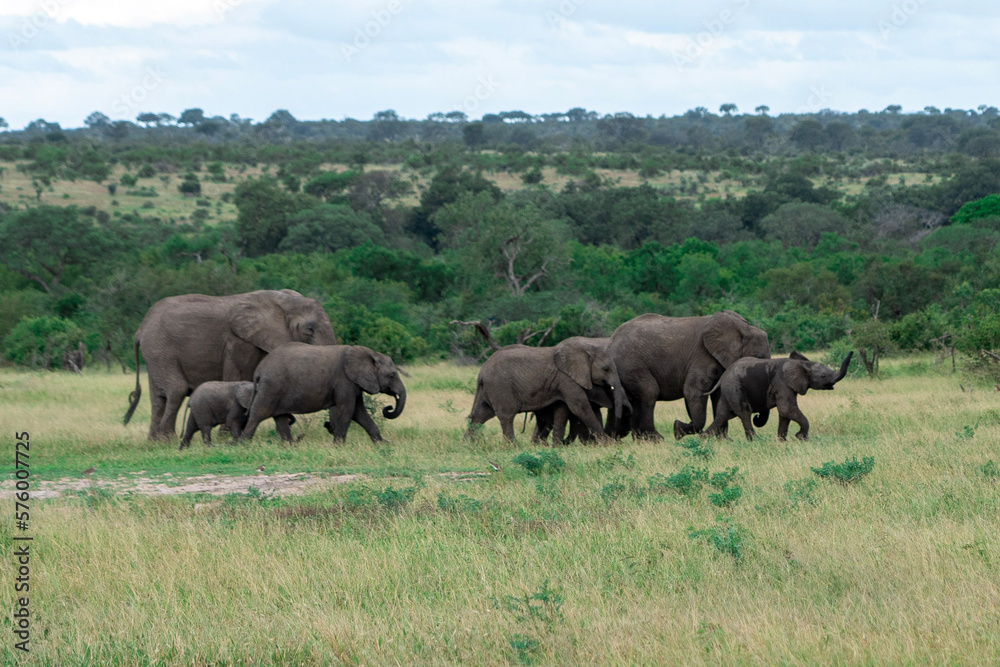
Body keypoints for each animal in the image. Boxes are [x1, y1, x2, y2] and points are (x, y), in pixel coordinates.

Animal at [123, 289, 338, 440]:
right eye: (309, 330)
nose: (329, 427)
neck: (282, 300)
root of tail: (140, 330)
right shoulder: (238, 341)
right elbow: (238, 379)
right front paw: (227, 438)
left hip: (155, 353)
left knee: (158, 398)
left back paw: (154, 442)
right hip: (160, 349)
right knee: (176, 390)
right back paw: (167, 441)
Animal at [240, 343, 406, 444]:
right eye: (392, 376)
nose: (388, 408)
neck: (370, 353)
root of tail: (259, 370)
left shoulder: (353, 383)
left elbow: (359, 413)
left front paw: (383, 444)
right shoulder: (344, 380)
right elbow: (348, 411)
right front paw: (338, 446)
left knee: (280, 419)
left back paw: (291, 446)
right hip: (271, 387)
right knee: (258, 414)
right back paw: (244, 445)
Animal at [466, 336, 629, 442]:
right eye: (606, 369)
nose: (616, 437)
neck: (586, 349)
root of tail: (481, 371)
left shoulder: (561, 383)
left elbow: (562, 409)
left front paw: (556, 447)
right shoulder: (567, 379)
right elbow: (580, 407)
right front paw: (606, 444)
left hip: (490, 389)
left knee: (481, 414)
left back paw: (470, 445)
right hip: (500, 386)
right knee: (506, 416)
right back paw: (512, 447)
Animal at [607, 311, 771, 441]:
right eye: (758, 357)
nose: (757, 417)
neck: (743, 328)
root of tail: (611, 340)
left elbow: (718, 395)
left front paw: (723, 441)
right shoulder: (702, 356)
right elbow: (693, 391)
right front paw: (678, 429)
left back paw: (639, 440)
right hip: (631, 365)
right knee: (649, 392)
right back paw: (656, 439)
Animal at [703, 351, 853, 441]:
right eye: (823, 376)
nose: (852, 351)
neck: (802, 364)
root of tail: (723, 377)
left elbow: (785, 414)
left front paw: (782, 441)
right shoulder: (782, 383)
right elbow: (787, 409)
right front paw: (801, 437)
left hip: (728, 390)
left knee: (722, 415)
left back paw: (703, 438)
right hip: (735, 388)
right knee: (744, 412)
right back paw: (755, 440)